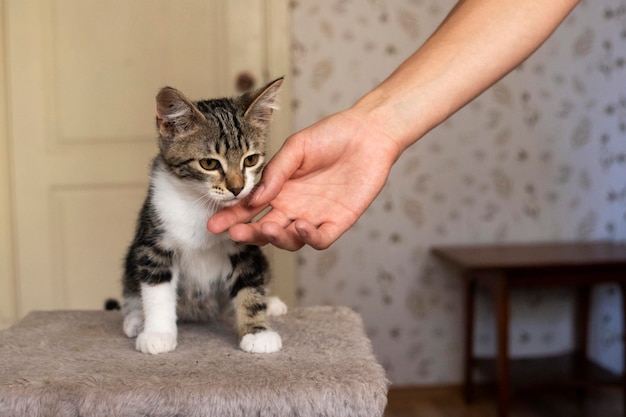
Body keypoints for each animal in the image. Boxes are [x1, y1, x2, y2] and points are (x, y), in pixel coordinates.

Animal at [121, 76, 286, 352]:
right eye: (209, 163)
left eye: (250, 160)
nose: (237, 188)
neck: (201, 204)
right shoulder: (154, 240)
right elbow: (156, 289)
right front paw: (157, 334)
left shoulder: (244, 243)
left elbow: (250, 285)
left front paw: (257, 332)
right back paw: (135, 319)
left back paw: (272, 303)